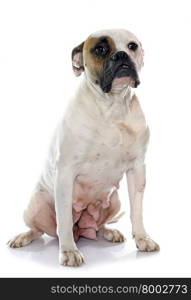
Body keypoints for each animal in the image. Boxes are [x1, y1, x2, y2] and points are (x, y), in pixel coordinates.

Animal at [7, 29, 160, 266]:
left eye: (132, 46)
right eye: (100, 49)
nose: (122, 55)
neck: (112, 106)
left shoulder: (137, 169)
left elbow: (137, 210)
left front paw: (142, 238)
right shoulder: (66, 172)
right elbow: (63, 218)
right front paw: (69, 251)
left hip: (115, 201)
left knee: (98, 226)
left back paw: (108, 232)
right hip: (34, 206)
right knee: (39, 229)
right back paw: (23, 237)